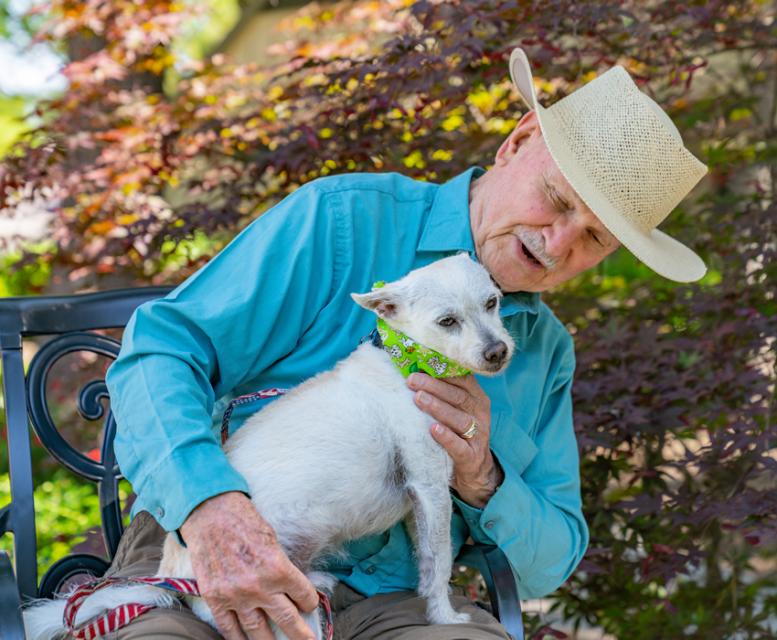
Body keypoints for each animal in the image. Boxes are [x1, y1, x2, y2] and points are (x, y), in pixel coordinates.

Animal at [25, 254, 516, 640]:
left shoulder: (420, 500)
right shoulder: (430, 486)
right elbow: (439, 563)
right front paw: (444, 616)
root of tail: (170, 578)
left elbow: (427, 561)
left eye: (492, 303)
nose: (498, 352)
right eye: (447, 322)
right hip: (283, 605)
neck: (408, 363)